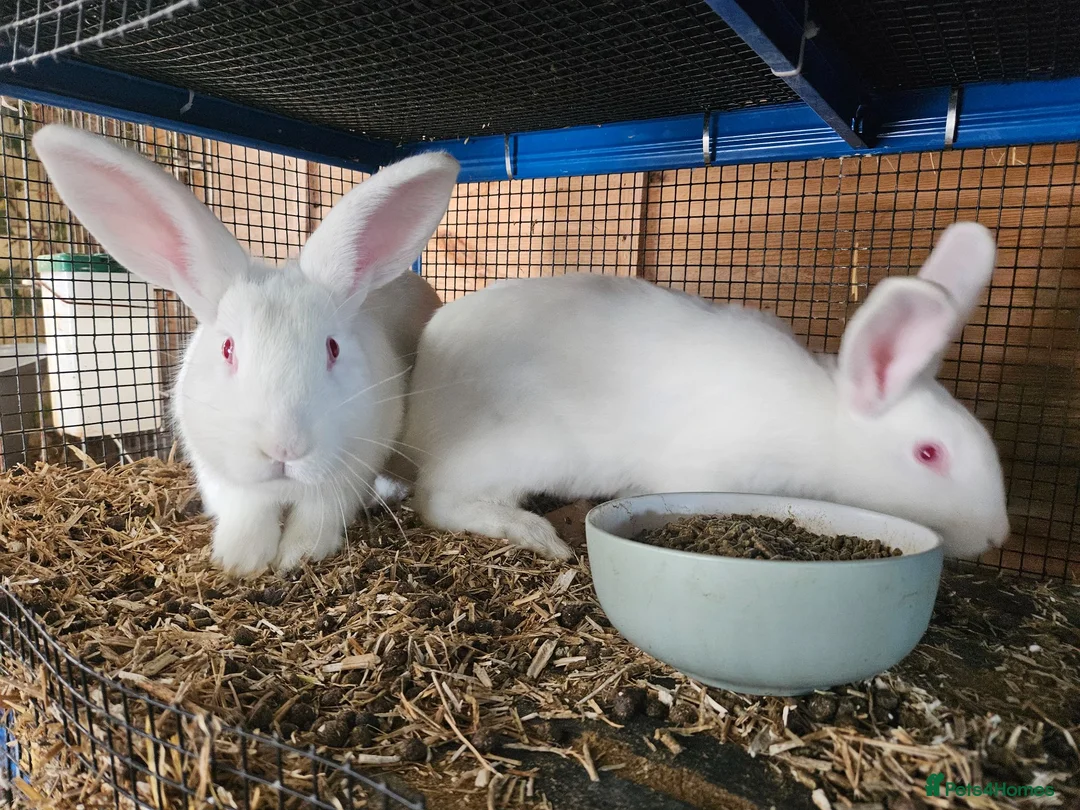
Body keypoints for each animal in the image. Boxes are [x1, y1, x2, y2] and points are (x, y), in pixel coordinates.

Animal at [33, 125, 458, 577]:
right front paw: (240, 561)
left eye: (333, 347)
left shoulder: (348, 470)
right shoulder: (222, 476)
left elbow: (317, 514)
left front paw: (299, 557)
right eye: (227, 348)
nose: (284, 449)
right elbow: (247, 515)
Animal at [399, 221, 1010, 561]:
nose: (997, 538)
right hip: (516, 451)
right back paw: (535, 533)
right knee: (440, 501)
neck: (822, 425)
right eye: (928, 454)